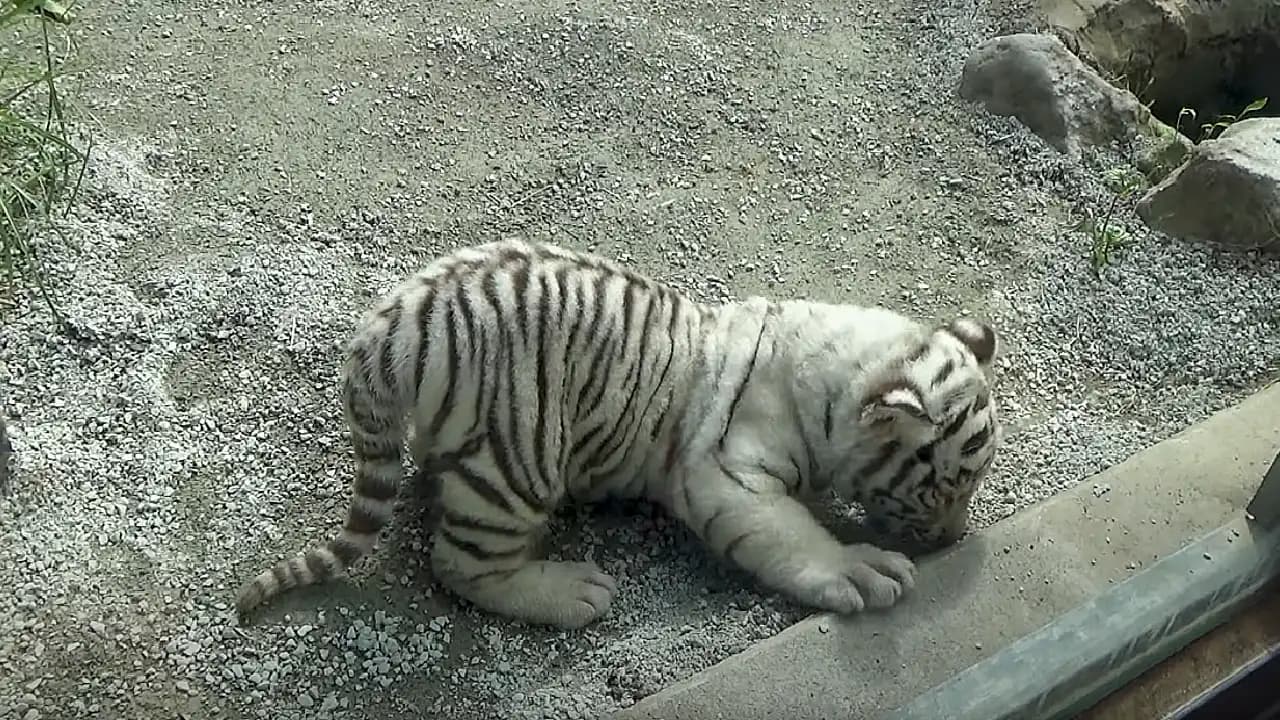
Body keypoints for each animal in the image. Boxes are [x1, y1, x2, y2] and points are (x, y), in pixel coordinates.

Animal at [235, 238, 1003, 625]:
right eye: (943, 489)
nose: (954, 539)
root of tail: (390, 328)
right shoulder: (724, 471)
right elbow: (792, 537)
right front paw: (859, 569)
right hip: (520, 458)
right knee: (460, 564)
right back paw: (572, 593)